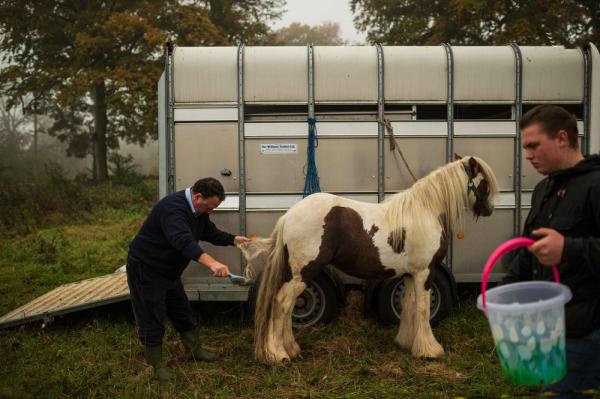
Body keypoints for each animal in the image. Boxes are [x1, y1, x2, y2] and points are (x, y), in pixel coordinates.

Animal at [241, 156, 500, 366]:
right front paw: (429, 350)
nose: (489, 209)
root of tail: (289, 215)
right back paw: (278, 354)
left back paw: (291, 349)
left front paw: (407, 342)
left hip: (296, 274)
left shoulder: (409, 275)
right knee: (282, 303)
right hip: (304, 272)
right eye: (484, 183)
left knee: (286, 306)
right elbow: (423, 309)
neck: (425, 211)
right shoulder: (425, 272)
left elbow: (408, 306)